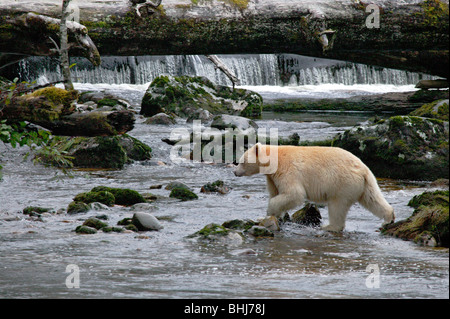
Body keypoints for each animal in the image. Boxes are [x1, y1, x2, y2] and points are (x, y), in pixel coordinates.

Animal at [236, 144, 394, 231]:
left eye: (242, 161)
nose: (235, 172)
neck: (275, 161)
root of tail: (363, 169)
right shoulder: (272, 178)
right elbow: (275, 193)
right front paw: (268, 216)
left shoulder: (288, 171)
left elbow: (294, 194)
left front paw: (270, 211)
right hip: (363, 184)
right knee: (372, 198)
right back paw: (389, 218)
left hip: (342, 184)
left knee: (337, 207)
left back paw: (329, 227)